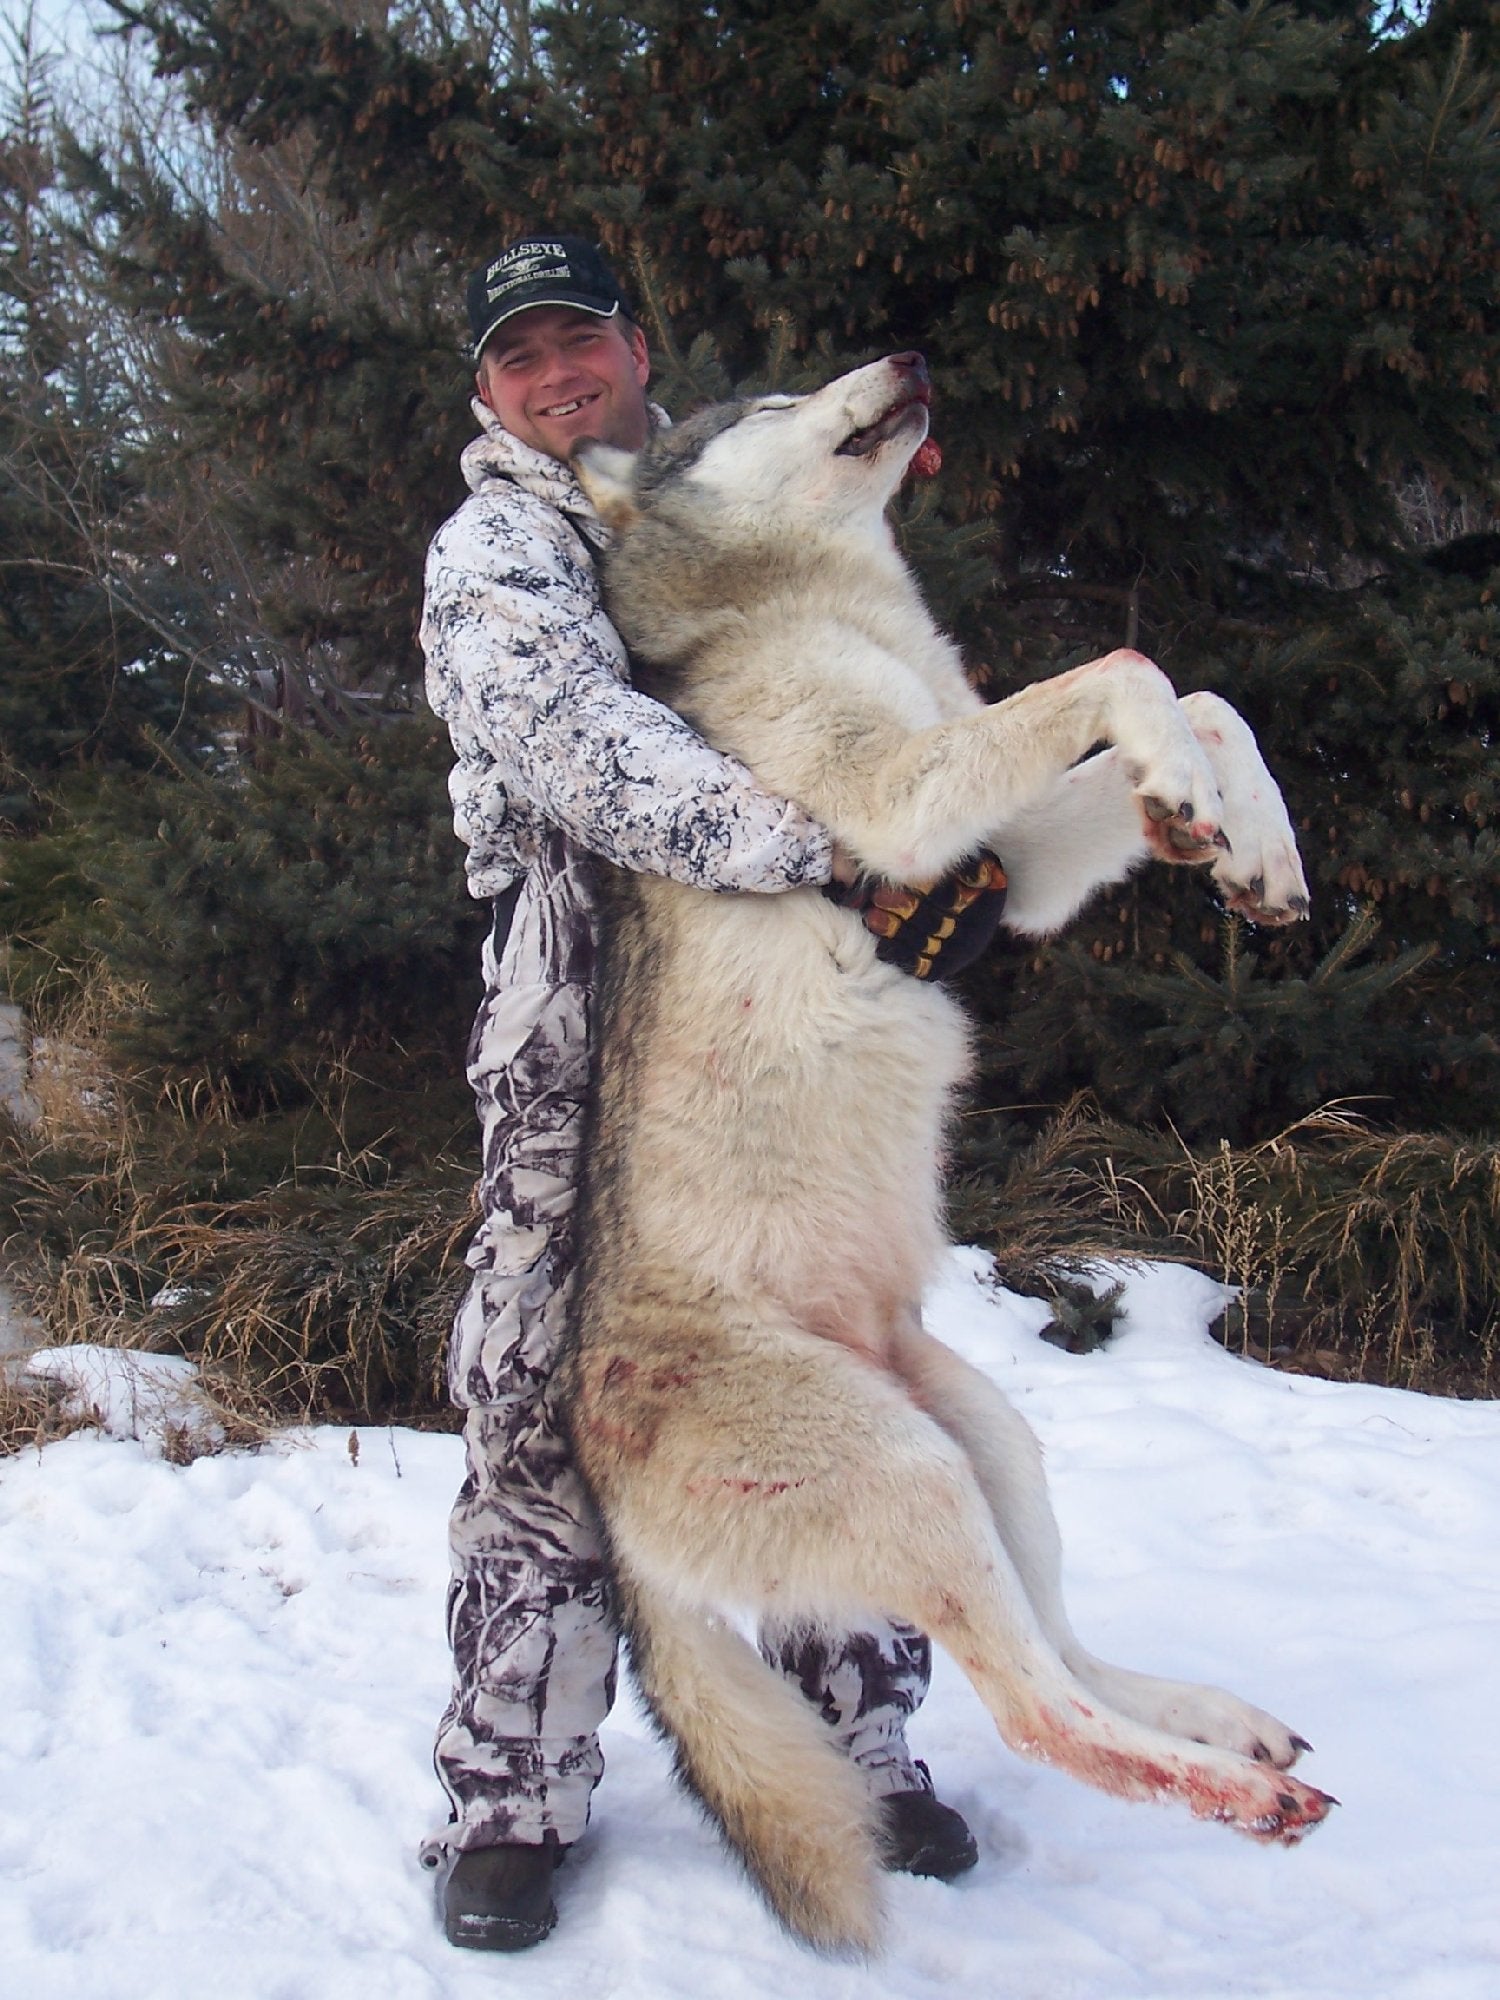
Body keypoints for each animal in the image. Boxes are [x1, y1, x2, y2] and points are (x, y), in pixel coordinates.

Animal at [556, 352, 1336, 1944]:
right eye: (761, 402)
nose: (910, 358)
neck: (842, 613)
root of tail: (605, 1516)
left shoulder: (1003, 872)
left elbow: (1206, 695)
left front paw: (1241, 843)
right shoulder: (902, 804)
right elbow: (1123, 664)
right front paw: (1193, 796)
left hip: (991, 1449)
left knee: (1064, 1653)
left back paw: (1220, 1723)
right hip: (913, 1475)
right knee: (1038, 1711)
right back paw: (1236, 1793)